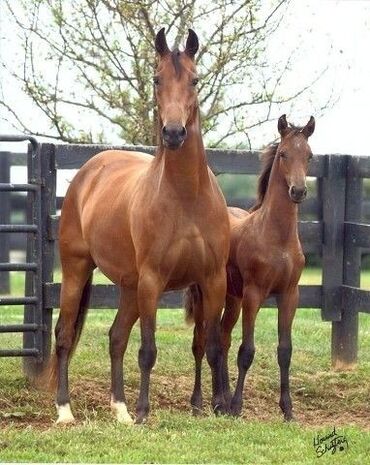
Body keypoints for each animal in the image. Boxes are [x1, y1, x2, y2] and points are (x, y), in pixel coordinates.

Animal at [48, 27, 230, 422]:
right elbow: (148, 350)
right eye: (157, 78)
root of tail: (90, 170)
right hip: (77, 270)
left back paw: (120, 410)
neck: (187, 198)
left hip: (129, 287)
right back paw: (66, 410)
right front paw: (145, 411)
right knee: (65, 334)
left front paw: (220, 406)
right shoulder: (152, 281)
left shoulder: (213, 280)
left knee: (116, 338)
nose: (174, 133)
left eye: (195, 79)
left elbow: (212, 345)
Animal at [185, 114, 316, 418]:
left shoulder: (289, 295)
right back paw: (200, 402)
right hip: (203, 295)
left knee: (222, 339)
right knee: (200, 343)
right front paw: (236, 406)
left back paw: (219, 401)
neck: (277, 238)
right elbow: (247, 351)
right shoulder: (254, 295)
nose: (298, 191)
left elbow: (284, 350)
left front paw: (287, 410)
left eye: (309, 155)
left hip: (231, 298)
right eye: (283, 154)